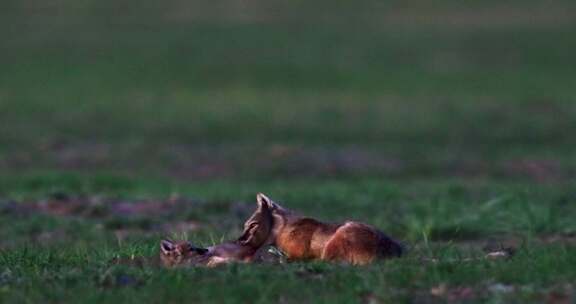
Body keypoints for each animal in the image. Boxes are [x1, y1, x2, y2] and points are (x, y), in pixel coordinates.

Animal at [244, 194, 404, 264]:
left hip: (337, 239)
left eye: (253, 224)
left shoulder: (297, 255)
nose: (241, 240)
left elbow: (286, 259)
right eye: (245, 225)